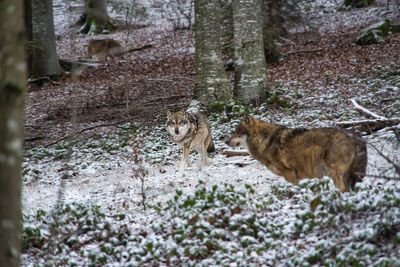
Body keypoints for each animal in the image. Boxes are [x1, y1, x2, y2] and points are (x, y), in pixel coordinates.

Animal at [227, 114, 368, 193]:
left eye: (237, 132)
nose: (226, 141)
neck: (266, 141)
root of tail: (356, 137)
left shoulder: (289, 174)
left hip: (335, 173)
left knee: (342, 189)